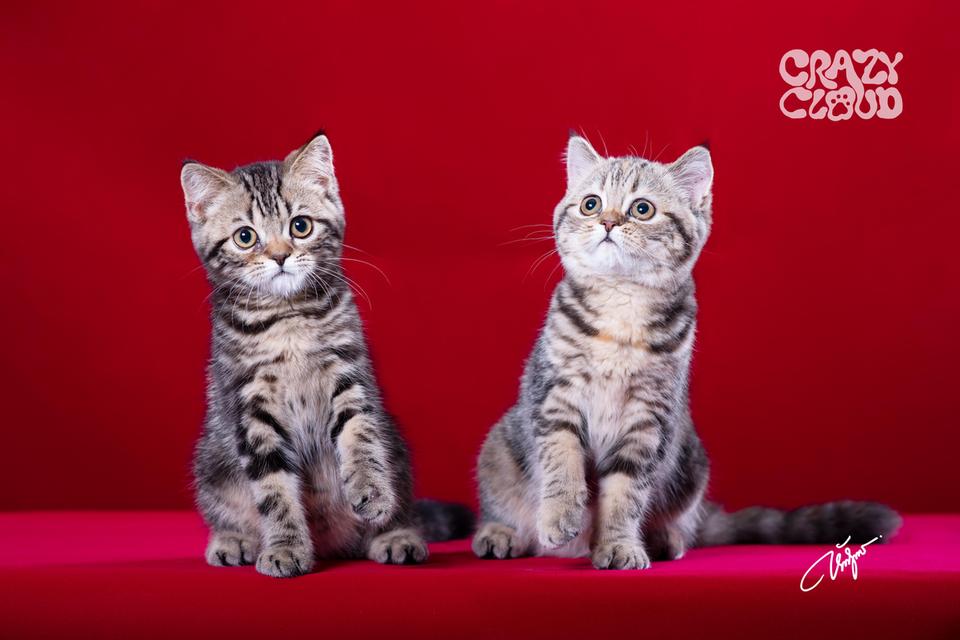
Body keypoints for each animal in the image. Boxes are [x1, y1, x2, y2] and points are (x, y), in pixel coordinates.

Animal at [181, 132, 472, 576]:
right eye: (245, 237)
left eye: (300, 226)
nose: (280, 255)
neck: (287, 320)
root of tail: (333, 543)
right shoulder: (248, 403)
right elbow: (273, 487)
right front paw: (285, 547)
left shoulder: (348, 372)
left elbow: (360, 435)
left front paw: (371, 491)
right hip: (211, 460)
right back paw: (233, 540)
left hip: (397, 445)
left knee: (398, 502)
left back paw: (396, 536)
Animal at [472, 132, 900, 568]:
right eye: (591, 204)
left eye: (642, 209)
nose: (608, 221)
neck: (620, 306)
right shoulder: (554, 394)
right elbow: (561, 460)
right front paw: (559, 515)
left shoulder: (649, 419)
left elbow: (625, 492)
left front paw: (618, 545)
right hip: (499, 449)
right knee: (501, 505)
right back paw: (501, 534)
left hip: (691, 459)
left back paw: (664, 539)